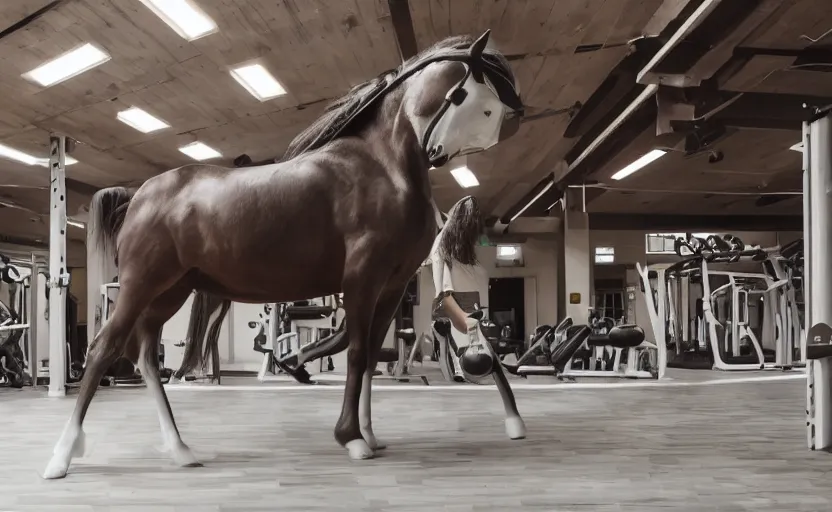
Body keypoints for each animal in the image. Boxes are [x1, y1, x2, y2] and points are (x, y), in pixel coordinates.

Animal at [44, 31, 520, 480]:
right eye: (468, 93)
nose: (436, 152)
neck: (383, 167)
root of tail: (138, 194)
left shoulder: (390, 287)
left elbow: (368, 358)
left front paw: (369, 434)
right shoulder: (362, 280)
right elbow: (355, 353)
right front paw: (351, 438)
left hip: (170, 292)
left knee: (144, 355)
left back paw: (181, 450)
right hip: (140, 286)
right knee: (103, 349)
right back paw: (61, 458)